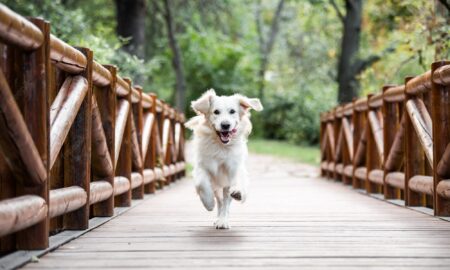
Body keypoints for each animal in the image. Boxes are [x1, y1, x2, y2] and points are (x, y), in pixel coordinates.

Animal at [186, 89, 264, 229]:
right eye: (216, 111)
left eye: (232, 111)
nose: (225, 125)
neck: (221, 146)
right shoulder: (201, 167)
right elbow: (202, 184)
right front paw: (208, 203)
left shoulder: (233, 169)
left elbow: (232, 191)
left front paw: (237, 193)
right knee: (220, 201)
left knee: (225, 202)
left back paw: (223, 219)